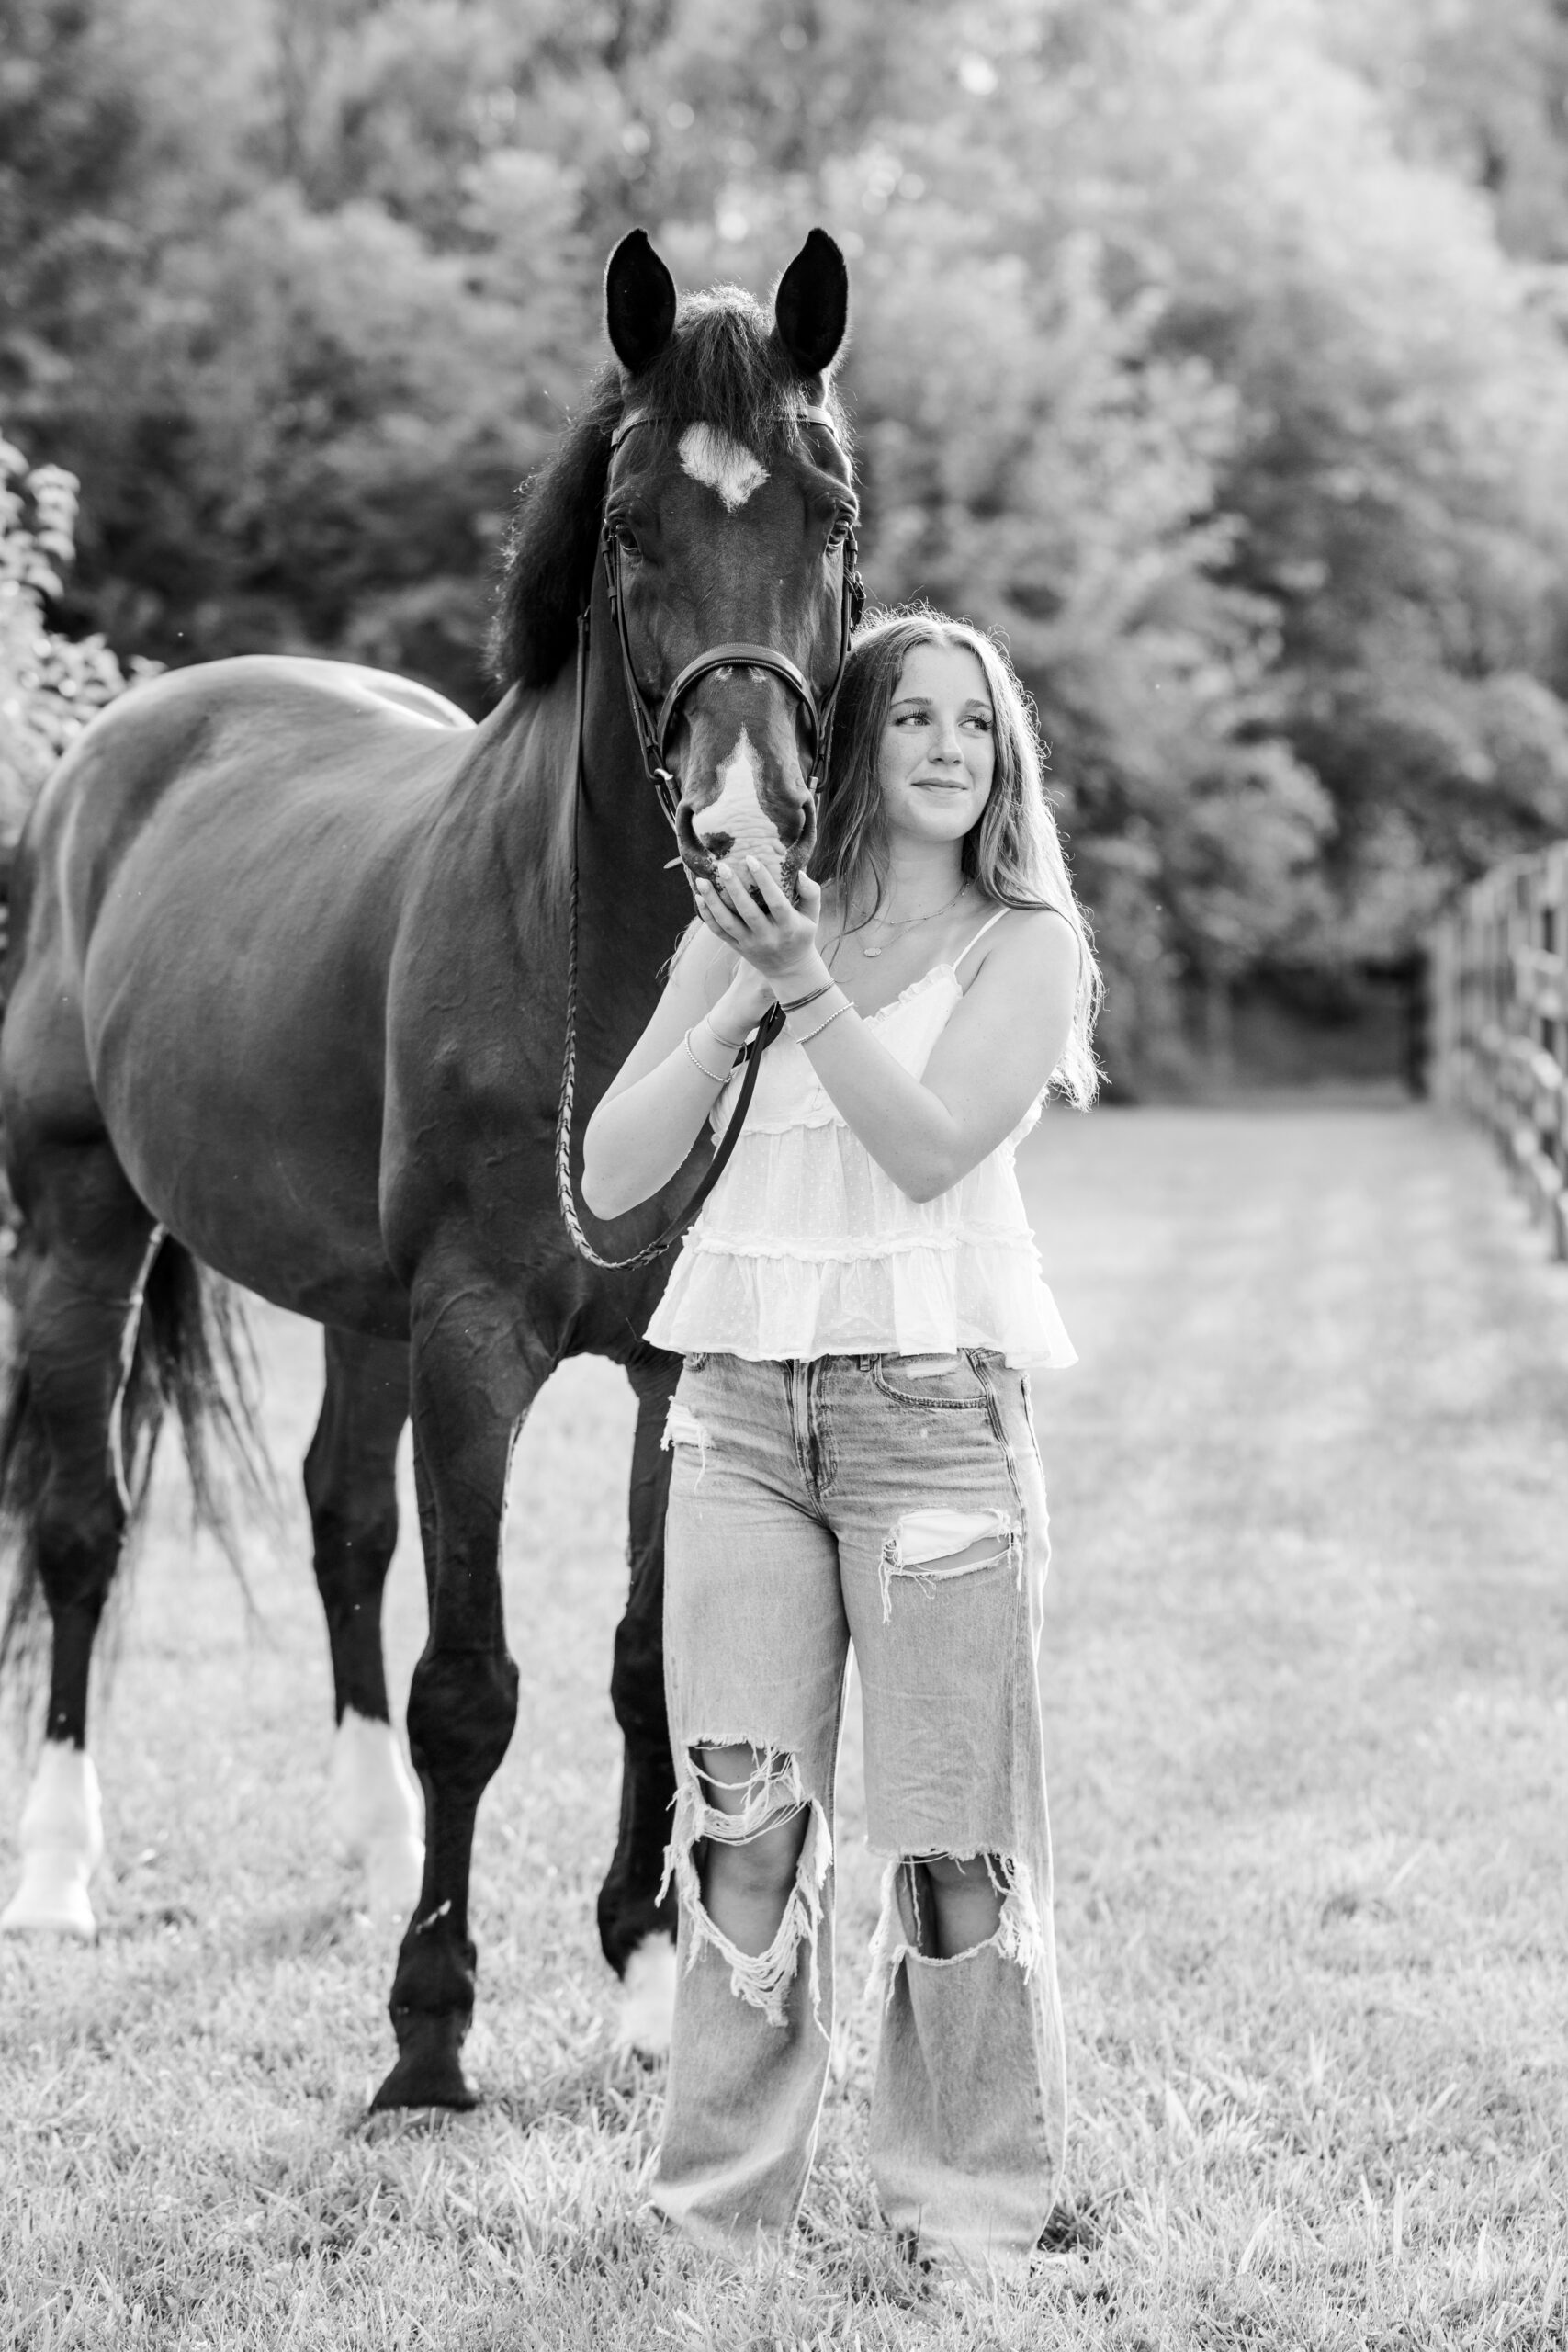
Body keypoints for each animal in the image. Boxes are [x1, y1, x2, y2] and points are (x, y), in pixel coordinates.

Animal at [0, 225, 860, 2109]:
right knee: (84, 1532)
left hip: (355, 1307)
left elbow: (642, 1667)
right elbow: (471, 1681)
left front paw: (639, 1989)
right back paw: (60, 1869)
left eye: (829, 514)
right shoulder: (475, 1341)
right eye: (629, 528)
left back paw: (369, 1841)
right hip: (83, 1231)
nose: (744, 829)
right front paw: (427, 2029)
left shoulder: (668, 1362)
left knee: (341, 1528)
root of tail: (124, 747)